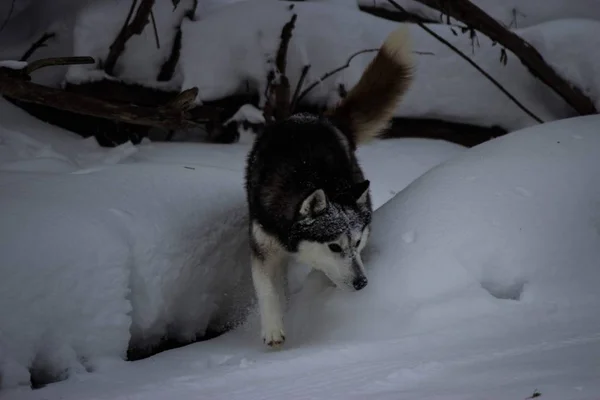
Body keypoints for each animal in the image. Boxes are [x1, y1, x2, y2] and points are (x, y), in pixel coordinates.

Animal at [244, 26, 412, 346]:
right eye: (334, 246)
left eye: (356, 243)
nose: (362, 283)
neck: (310, 179)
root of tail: (316, 117)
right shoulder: (264, 247)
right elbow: (267, 288)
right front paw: (273, 327)